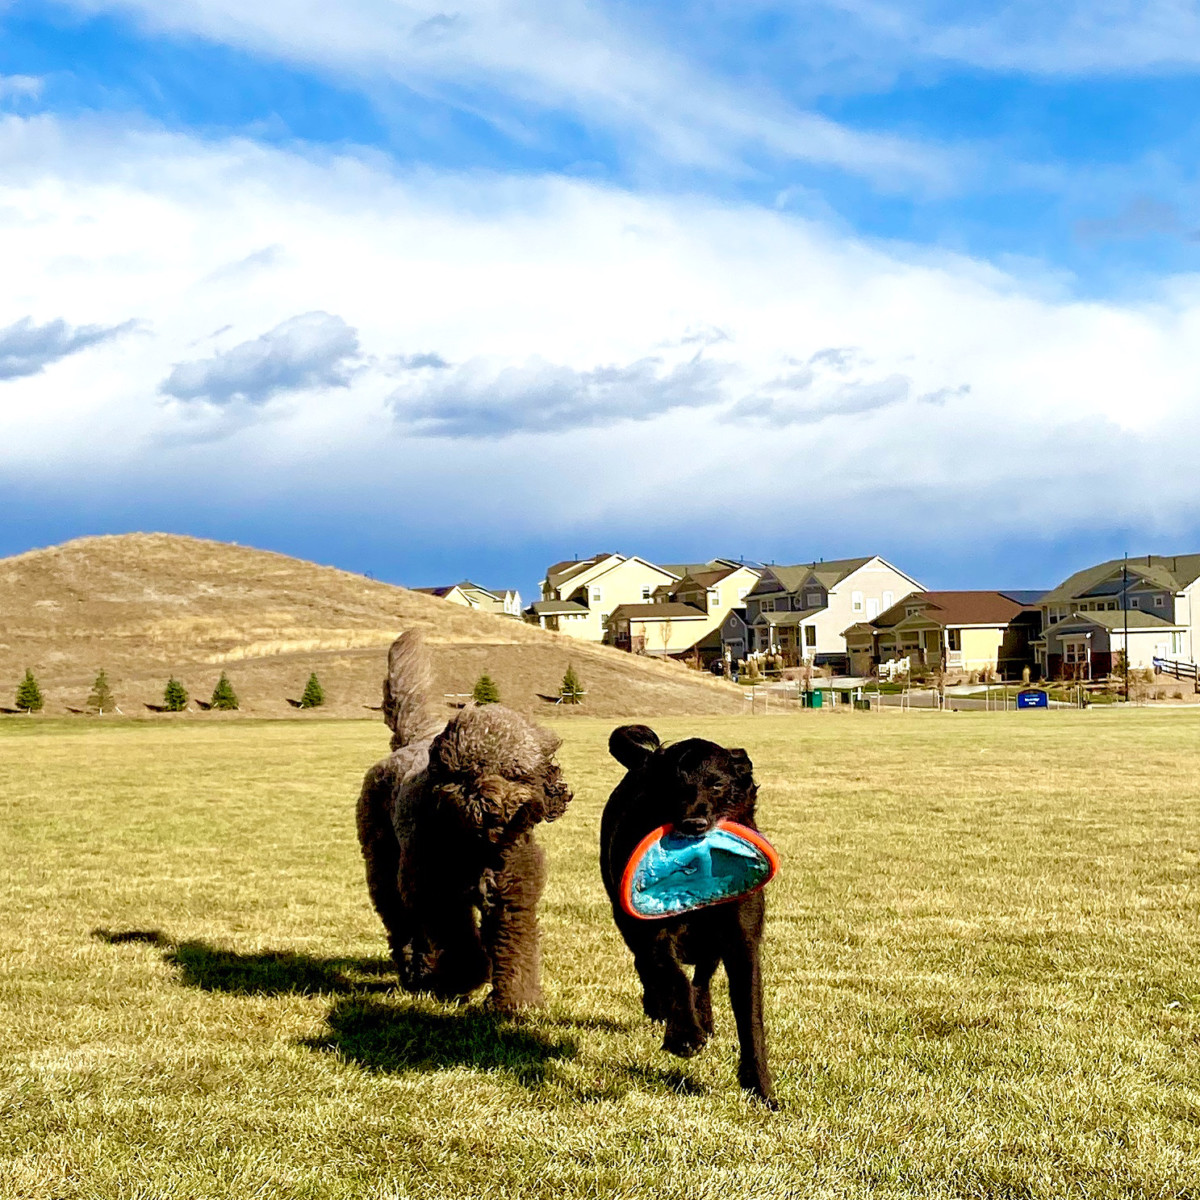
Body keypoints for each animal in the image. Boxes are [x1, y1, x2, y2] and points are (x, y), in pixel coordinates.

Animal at [600, 720, 777, 1104]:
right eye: (675, 786)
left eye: (717, 784)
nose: (694, 824)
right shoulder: (652, 930)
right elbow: (672, 975)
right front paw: (684, 1035)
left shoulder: (742, 942)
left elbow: (750, 1016)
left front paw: (761, 1088)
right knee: (648, 966)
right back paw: (661, 1008)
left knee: (703, 978)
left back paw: (704, 1017)